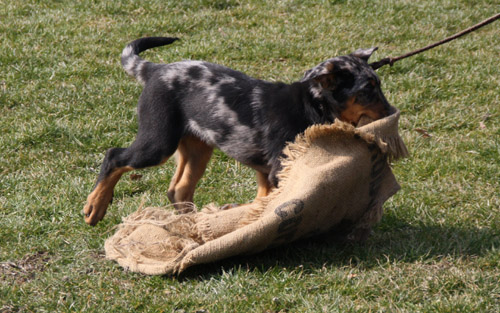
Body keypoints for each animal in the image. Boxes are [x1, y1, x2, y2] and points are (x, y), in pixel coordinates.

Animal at [84, 36, 392, 224]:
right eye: (368, 90)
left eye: (379, 84)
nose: (392, 113)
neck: (311, 105)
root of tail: (155, 69)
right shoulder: (278, 169)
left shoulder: (266, 174)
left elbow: (262, 203)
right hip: (158, 140)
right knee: (114, 156)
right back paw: (95, 207)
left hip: (197, 148)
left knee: (178, 189)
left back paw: (192, 224)